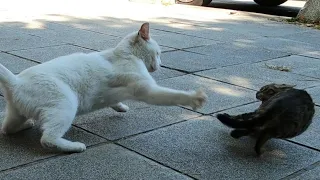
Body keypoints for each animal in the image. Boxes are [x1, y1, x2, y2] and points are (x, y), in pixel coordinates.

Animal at [0, 22, 208, 152]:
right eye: (158, 53)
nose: (161, 64)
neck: (124, 54)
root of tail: (15, 82)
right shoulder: (146, 90)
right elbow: (172, 95)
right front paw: (195, 98)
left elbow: (114, 100)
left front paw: (121, 107)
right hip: (66, 104)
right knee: (47, 139)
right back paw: (75, 147)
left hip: (16, 114)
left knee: (7, 128)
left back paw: (27, 124)